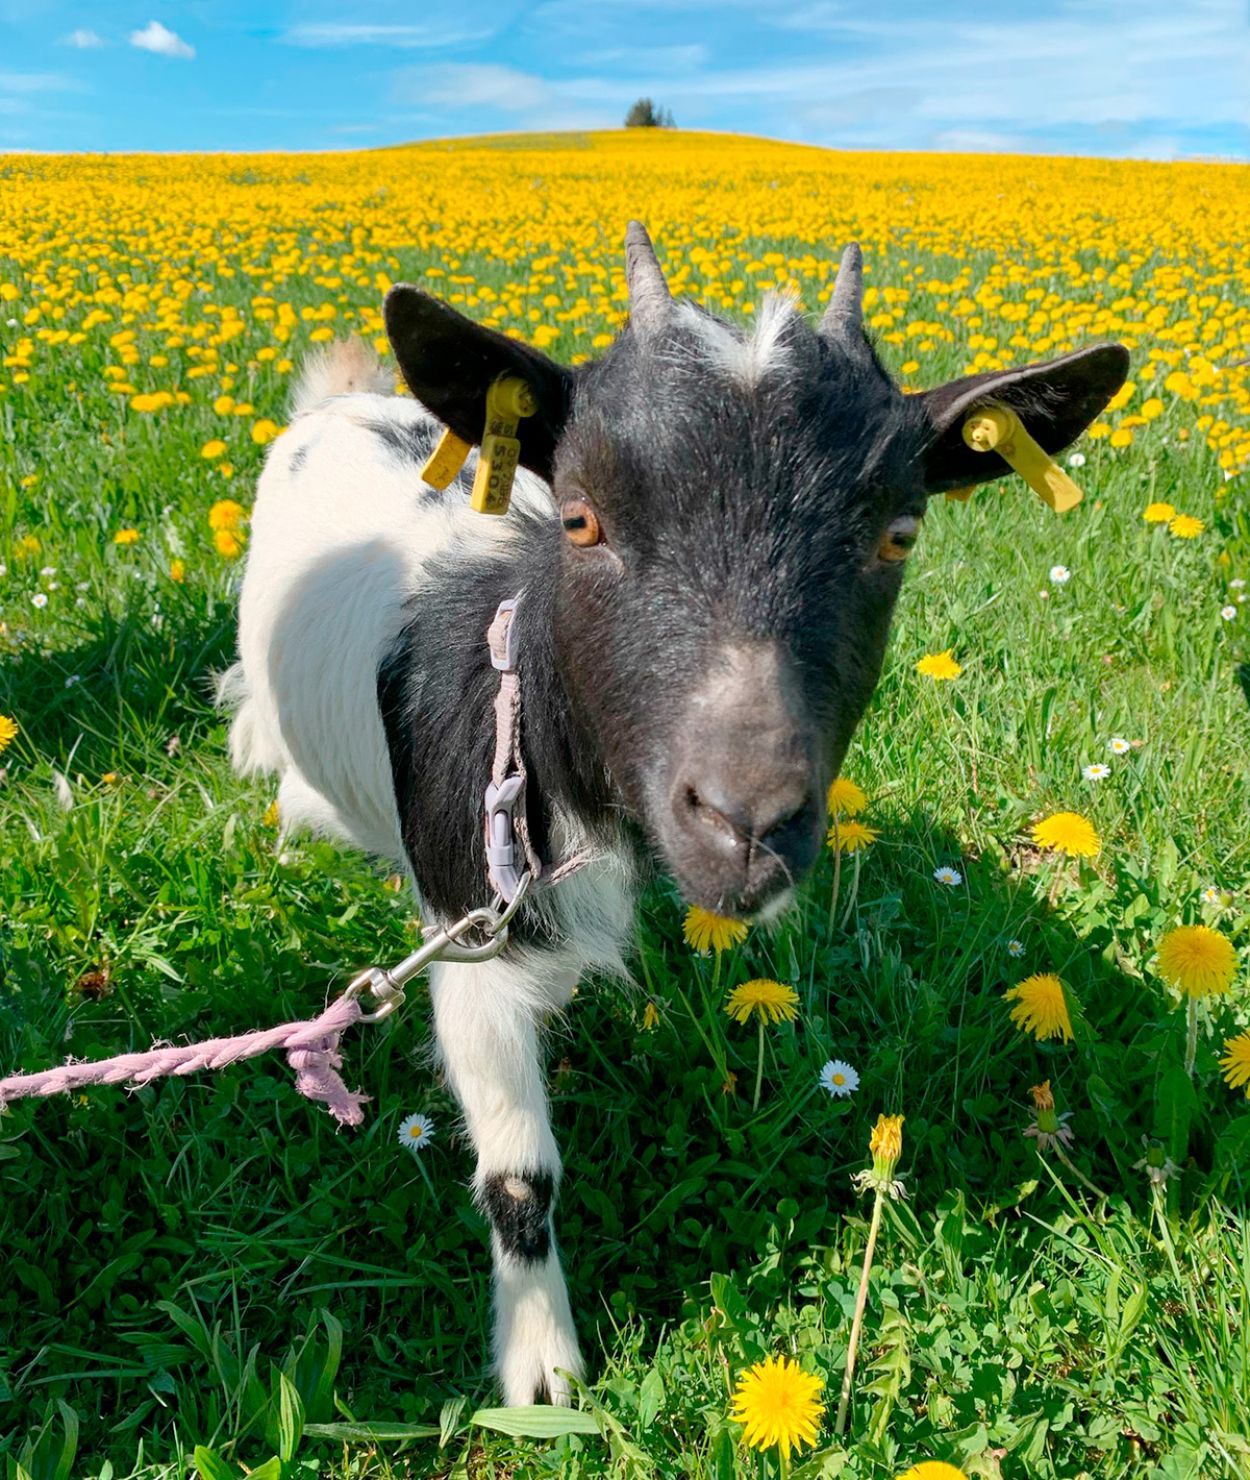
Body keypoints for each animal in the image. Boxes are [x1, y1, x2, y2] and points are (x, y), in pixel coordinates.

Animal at [224, 224, 1127, 1405]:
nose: (746, 819)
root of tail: (343, 402)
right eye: (579, 516)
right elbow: (519, 1172)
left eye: (899, 533)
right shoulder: (470, 932)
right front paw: (544, 1374)